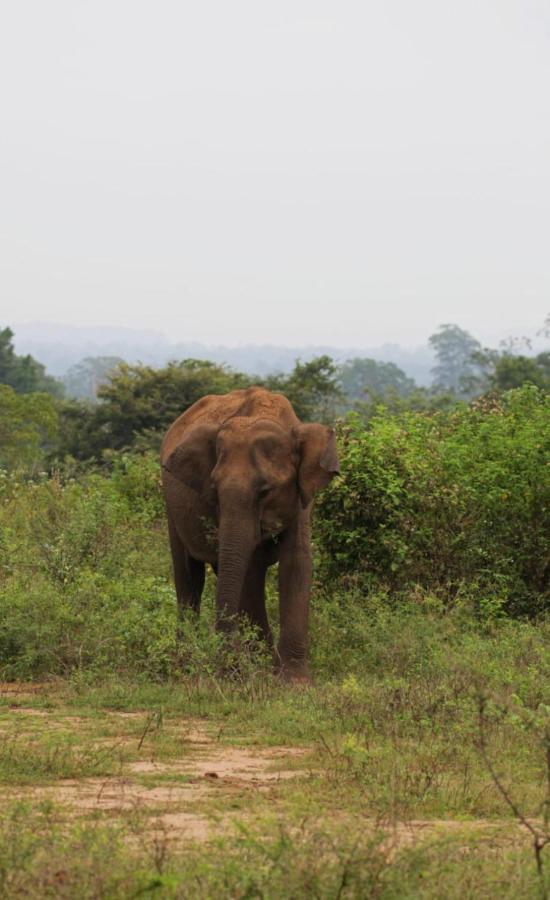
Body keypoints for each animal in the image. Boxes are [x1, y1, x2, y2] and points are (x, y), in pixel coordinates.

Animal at [161, 384, 340, 680]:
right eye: (214, 491)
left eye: (266, 491)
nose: (226, 667)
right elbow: (249, 570)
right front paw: (259, 668)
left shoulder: (302, 498)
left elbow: (296, 563)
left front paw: (292, 680)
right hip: (170, 508)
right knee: (189, 576)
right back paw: (184, 665)